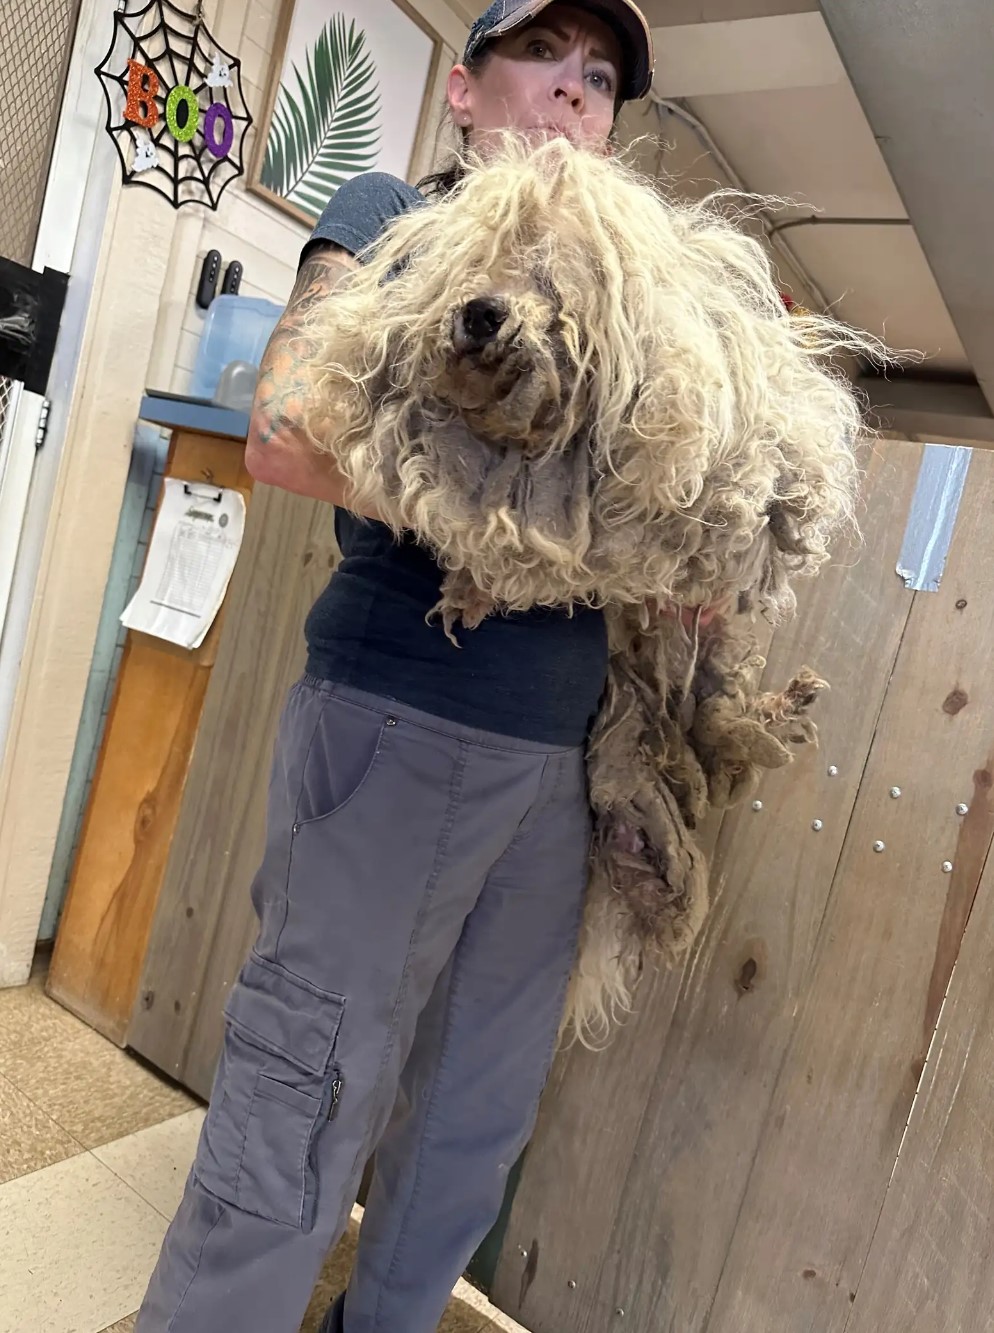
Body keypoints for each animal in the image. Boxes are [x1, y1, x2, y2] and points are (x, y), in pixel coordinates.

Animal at [298, 137, 879, 1039]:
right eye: (477, 262)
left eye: (554, 284)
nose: (481, 314)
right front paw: (470, 587)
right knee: (711, 753)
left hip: (712, 665)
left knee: (724, 725)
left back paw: (780, 718)